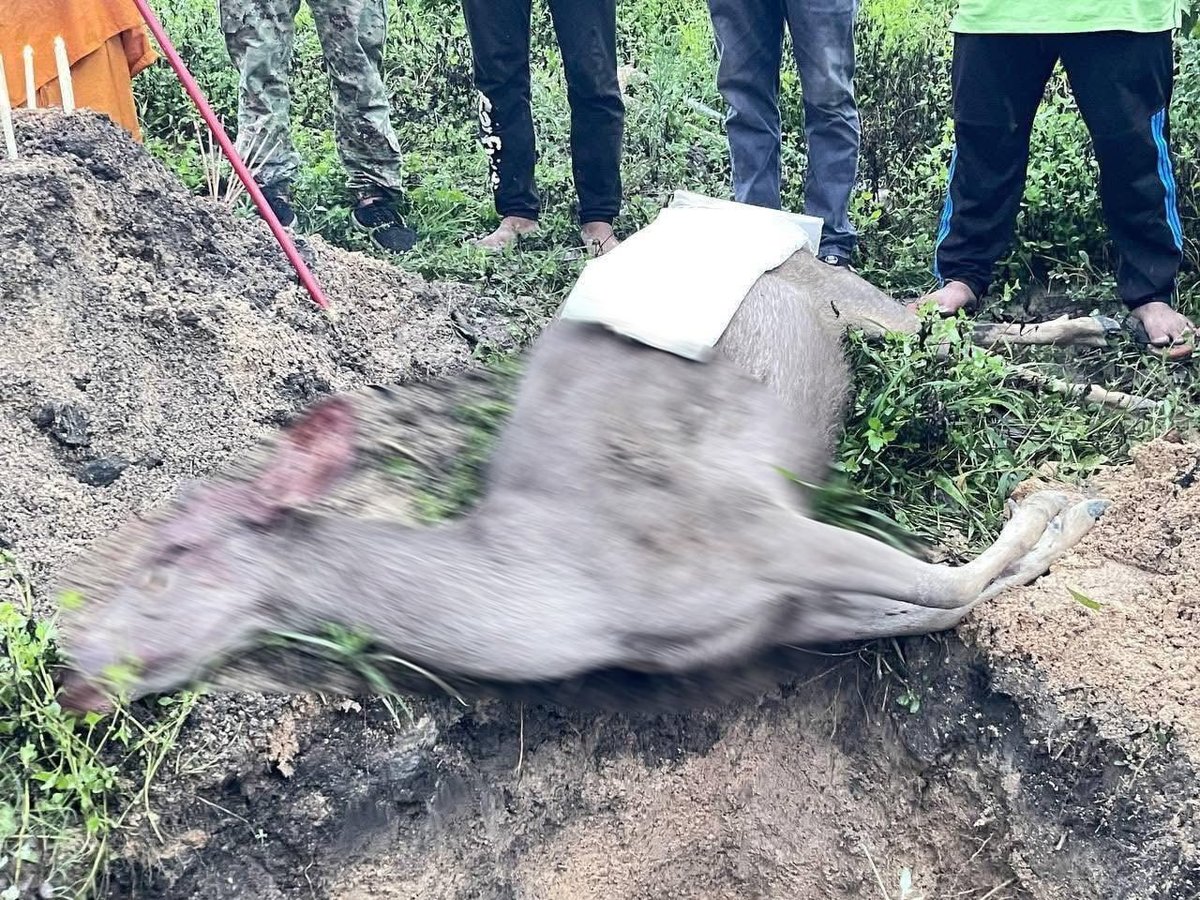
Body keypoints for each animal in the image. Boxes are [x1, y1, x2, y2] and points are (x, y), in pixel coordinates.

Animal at [56, 249, 1107, 712]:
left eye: (166, 556)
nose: (69, 672)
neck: (579, 603)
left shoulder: (748, 519)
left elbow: (952, 580)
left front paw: (1064, 505)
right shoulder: (772, 615)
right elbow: (936, 607)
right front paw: (1049, 532)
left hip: (861, 308)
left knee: (955, 332)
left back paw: (1097, 348)